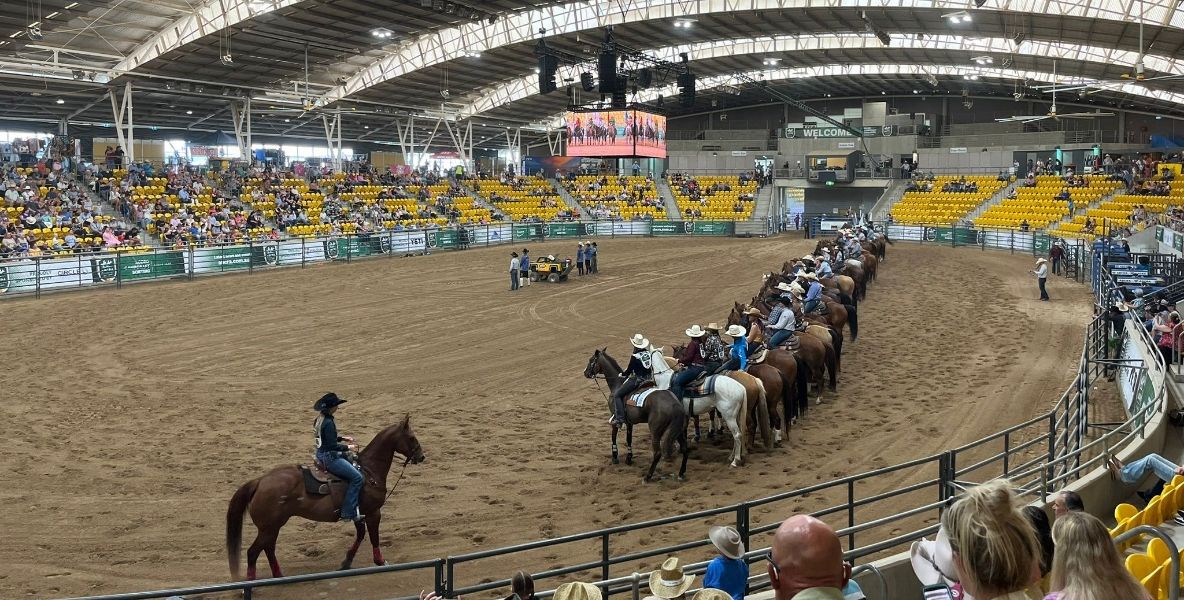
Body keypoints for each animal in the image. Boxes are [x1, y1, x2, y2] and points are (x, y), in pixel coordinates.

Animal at [224, 416, 426, 579]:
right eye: (411, 437)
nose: (421, 456)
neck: (368, 471)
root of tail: (260, 481)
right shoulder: (373, 512)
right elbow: (373, 537)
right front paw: (380, 561)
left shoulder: (357, 513)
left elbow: (360, 535)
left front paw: (346, 562)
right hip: (268, 528)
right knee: (252, 552)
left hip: (272, 527)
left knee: (268, 549)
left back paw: (279, 576)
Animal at [584, 350, 691, 480]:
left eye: (591, 360)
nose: (585, 372)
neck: (618, 384)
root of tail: (675, 404)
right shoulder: (629, 422)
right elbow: (629, 439)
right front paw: (629, 458)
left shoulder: (615, 418)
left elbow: (613, 436)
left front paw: (615, 457)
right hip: (677, 429)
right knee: (685, 449)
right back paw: (681, 473)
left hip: (656, 431)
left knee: (657, 453)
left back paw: (648, 476)